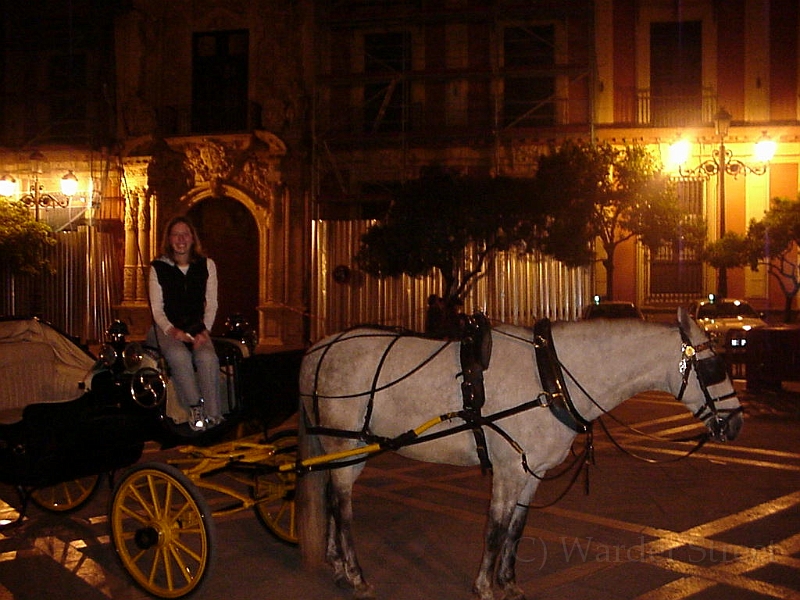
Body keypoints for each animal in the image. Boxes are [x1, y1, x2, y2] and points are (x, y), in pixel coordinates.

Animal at [296, 310, 744, 600]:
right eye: (714, 369)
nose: (736, 424)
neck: (551, 378)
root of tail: (319, 349)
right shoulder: (510, 469)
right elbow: (495, 528)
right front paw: (484, 587)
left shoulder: (533, 472)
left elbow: (516, 528)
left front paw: (508, 582)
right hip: (345, 446)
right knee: (343, 506)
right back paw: (355, 575)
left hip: (345, 449)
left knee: (335, 499)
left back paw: (337, 564)